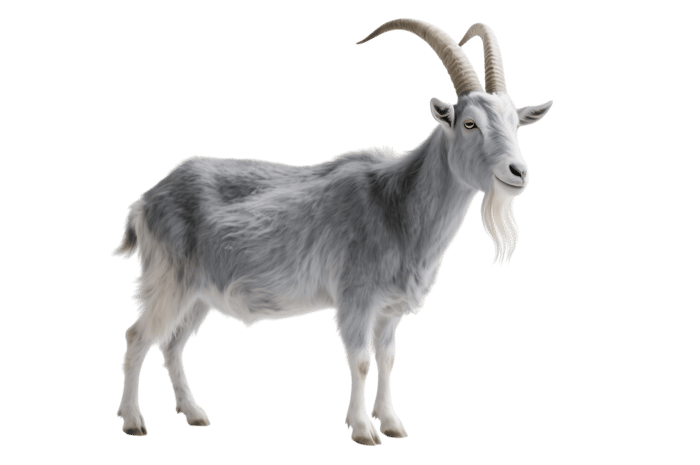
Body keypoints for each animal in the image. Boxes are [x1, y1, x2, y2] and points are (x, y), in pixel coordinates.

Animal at [111, 18, 553, 446]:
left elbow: (387, 358)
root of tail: (146, 200)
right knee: (138, 337)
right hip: (169, 280)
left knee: (172, 343)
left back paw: (194, 413)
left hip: (199, 293)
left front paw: (392, 423)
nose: (517, 172)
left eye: (515, 124)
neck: (396, 204)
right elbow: (359, 360)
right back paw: (133, 421)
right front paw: (363, 430)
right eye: (469, 123)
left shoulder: (389, 309)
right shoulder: (354, 295)